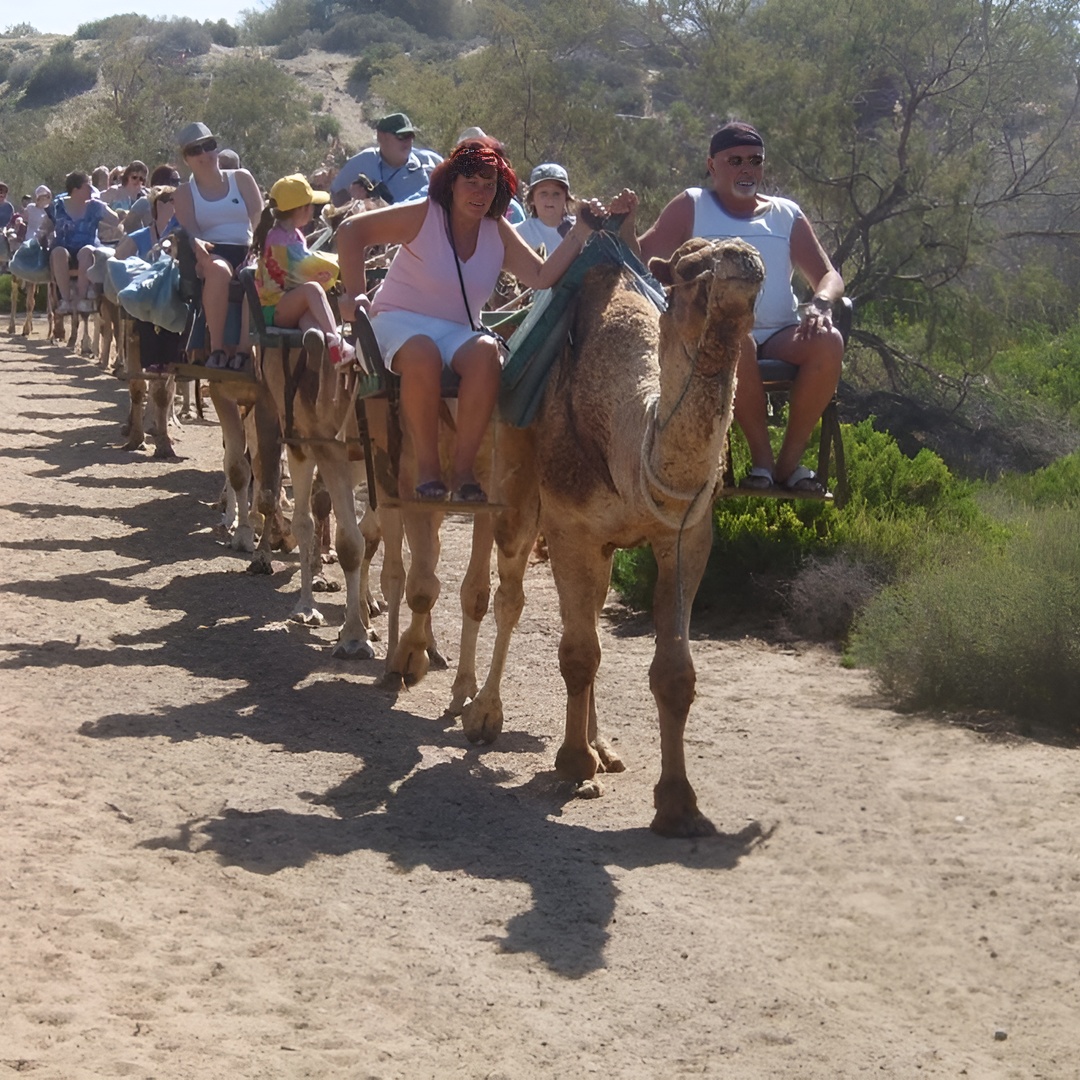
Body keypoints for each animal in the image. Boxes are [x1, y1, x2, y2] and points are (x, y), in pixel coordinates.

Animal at [451, 236, 764, 836]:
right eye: (690, 267)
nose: (745, 257)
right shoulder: (569, 527)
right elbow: (576, 653)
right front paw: (572, 764)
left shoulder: (685, 539)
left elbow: (673, 673)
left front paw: (678, 803)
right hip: (511, 489)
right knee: (506, 594)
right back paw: (477, 710)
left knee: (584, 611)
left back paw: (601, 746)